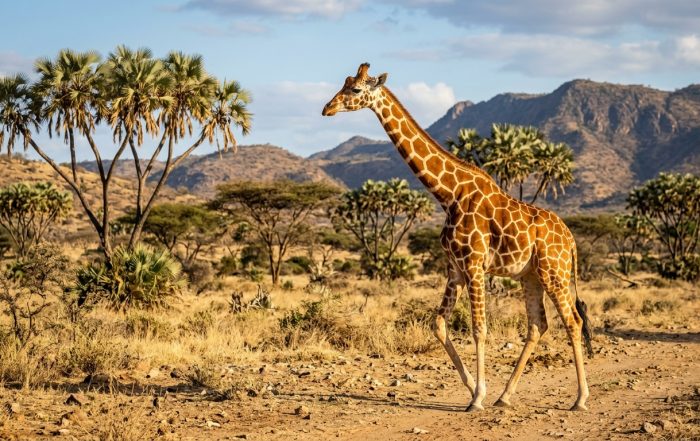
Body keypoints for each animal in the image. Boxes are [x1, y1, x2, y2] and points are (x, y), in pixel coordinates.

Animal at [322, 63, 593, 412]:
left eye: (355, 89)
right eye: (344, 83)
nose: (327, 109)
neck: (448, 194)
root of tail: (571, 241)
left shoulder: (474, 265)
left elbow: (479, 328)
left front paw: (477, 397)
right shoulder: (455, 268)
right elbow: (438, 325)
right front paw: (475, 388)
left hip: (553, 271)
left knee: (573, 321)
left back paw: (580, 399)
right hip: (530, 275)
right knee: (538, 325)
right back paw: (505, 397)